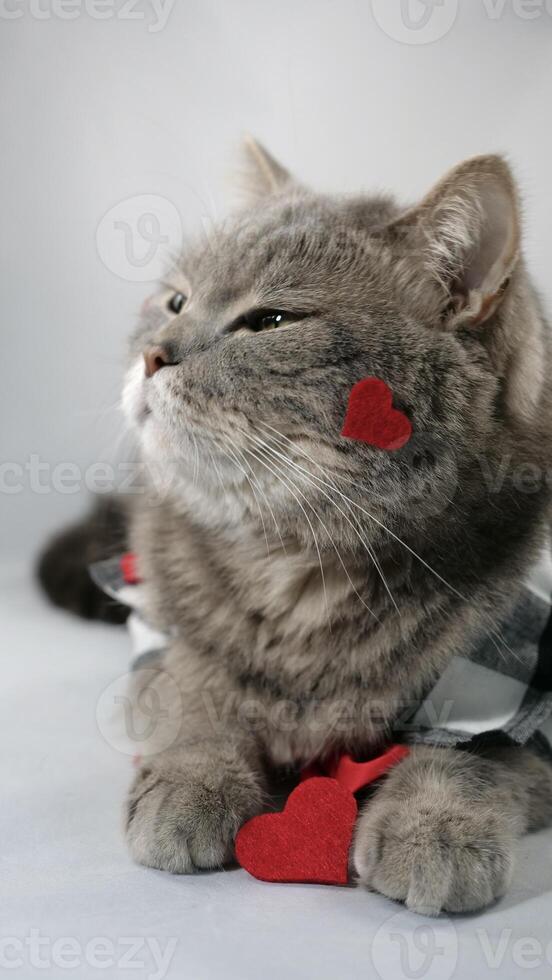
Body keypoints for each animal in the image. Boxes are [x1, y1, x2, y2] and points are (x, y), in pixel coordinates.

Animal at [43, 142, 552, 916]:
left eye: (272, 322)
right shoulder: (159, 637)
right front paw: (191, 781)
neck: (296, 566)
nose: (153, 352)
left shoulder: (517, 677)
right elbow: (195, 688)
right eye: (175, 300)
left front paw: (433, 824)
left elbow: (473, 755)